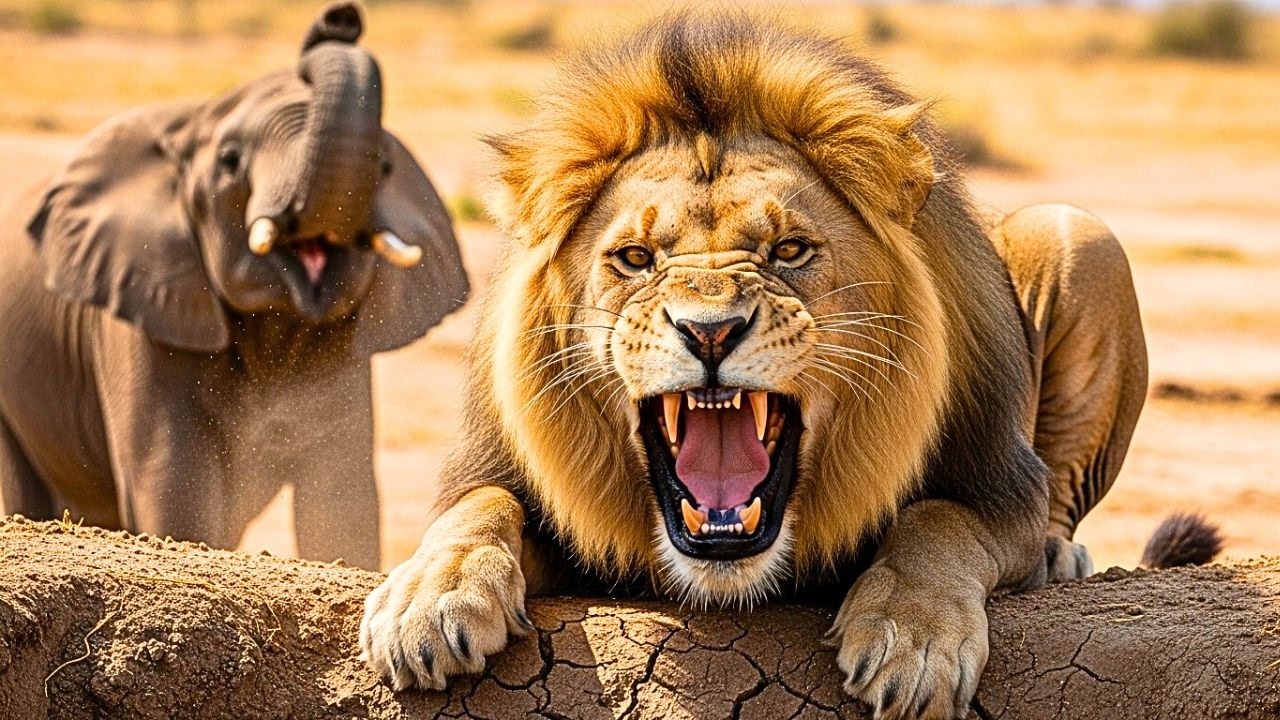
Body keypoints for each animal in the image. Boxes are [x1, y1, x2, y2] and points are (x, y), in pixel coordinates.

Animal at [0, 2, 468, 570]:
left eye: (384, 165)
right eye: (229, 162)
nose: (340, 18)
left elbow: (340, 500)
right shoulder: (144, 315)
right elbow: (174, 492)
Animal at [360, 15, 1206, 718]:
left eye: (790, 250)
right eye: (634, 259)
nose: (709, 332)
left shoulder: (1001, 488)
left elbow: (939, 520)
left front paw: (912, 641)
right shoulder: (518, 494)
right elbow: (477, 508)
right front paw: (427, 599)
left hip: (1075, 234)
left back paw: (1063, 559)